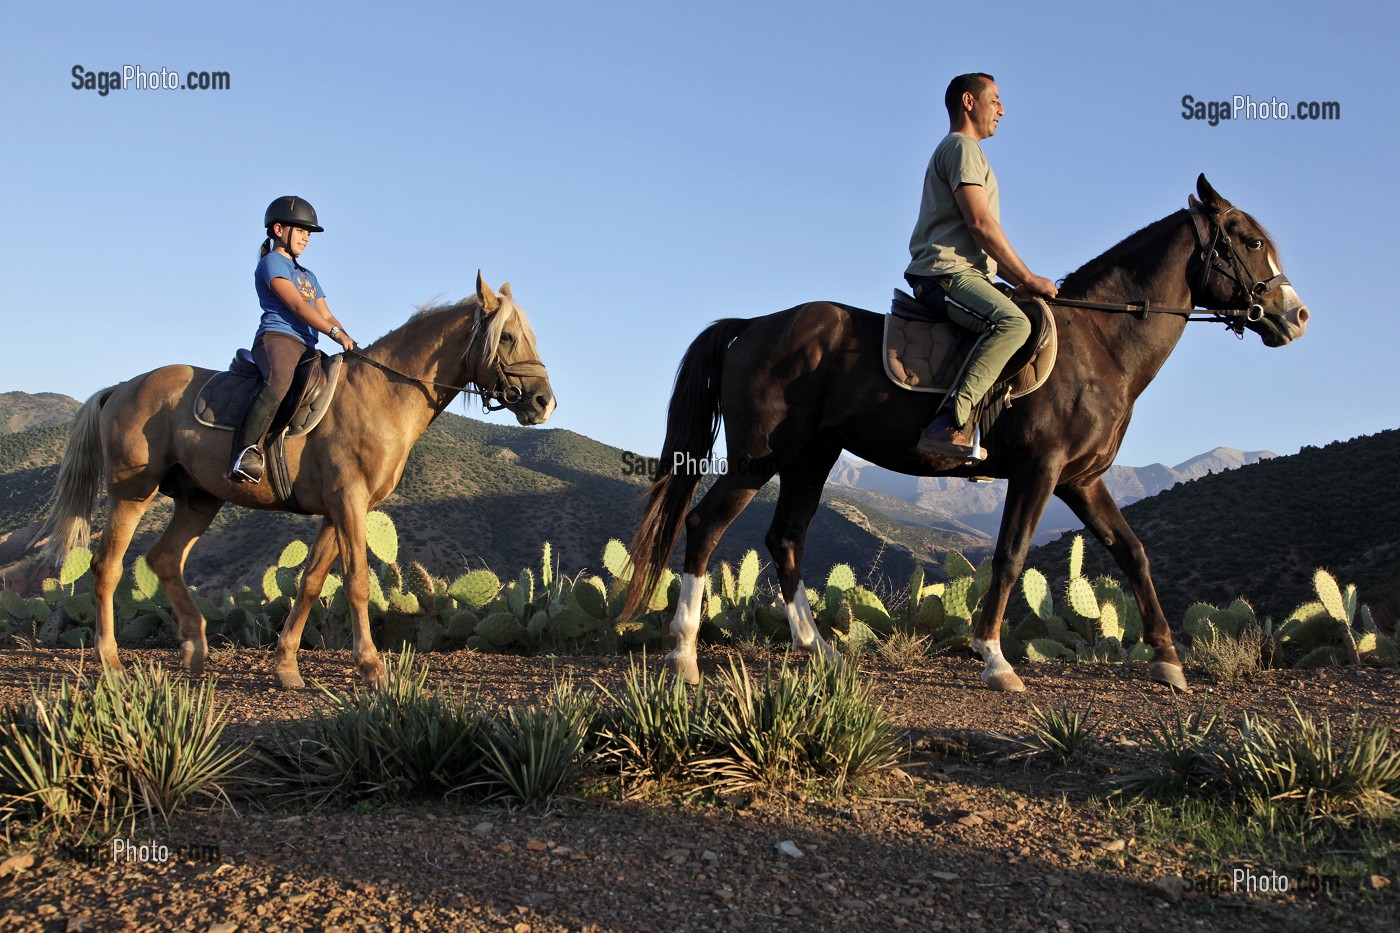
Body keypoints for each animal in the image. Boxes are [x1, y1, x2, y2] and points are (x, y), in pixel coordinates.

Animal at [39, 274, 554, 689]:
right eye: (508, 337)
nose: (544, 402)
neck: (382, 394)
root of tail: (121, 388)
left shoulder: (339, 510)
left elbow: (310, 582)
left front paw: (286, 666)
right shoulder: (348, 502)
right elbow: (356, 582)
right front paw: (371, 667)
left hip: (198, 500)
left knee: (164, 559)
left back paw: (196, 651)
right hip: (133, 492)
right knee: (106, 567)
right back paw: (112, 664)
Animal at [623, 175, 1309, 693]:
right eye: (1249, 241)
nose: (1296, 316)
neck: (1100, 344)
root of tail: (753, 325)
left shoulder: (1082, 480)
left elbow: (1132, 552)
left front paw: (1168, 662)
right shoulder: (1040, 470)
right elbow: (1010, 557)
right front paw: (995, 659)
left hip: (811, 458)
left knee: (786, 538)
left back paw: (820, 651)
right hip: (760, 456)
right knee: (705, 525)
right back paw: (683, 656)